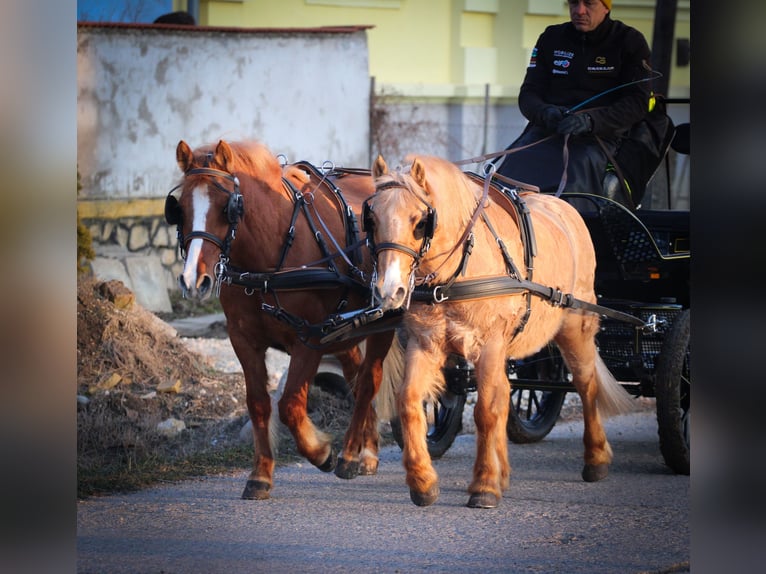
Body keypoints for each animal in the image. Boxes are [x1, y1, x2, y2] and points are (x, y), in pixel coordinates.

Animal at [166, 139, 395, 499]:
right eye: (181, 209)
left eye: (227, 207)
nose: (193, 281)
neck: (268, 261)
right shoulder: (243, 341)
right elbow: (259, 403)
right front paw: (260, 475)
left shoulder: (310, 338)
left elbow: (289, 405)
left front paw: (320, 452)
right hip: (345, 331)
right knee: (357, 378)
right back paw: (366, 452)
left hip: (383, 321)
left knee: (369, 380)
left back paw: (348, 456)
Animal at [365, 154, 635, 508]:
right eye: (372, 220)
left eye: (419, 221)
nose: (389, 290)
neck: (456, 274)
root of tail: (565, 206)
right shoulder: (426, 343)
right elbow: (409, 400)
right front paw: (423, 482)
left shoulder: (489, 344)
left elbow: (486, 411)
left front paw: (484, 485)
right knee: (507, 393)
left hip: (576, 326)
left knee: (586, 385)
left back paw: (596, 459)